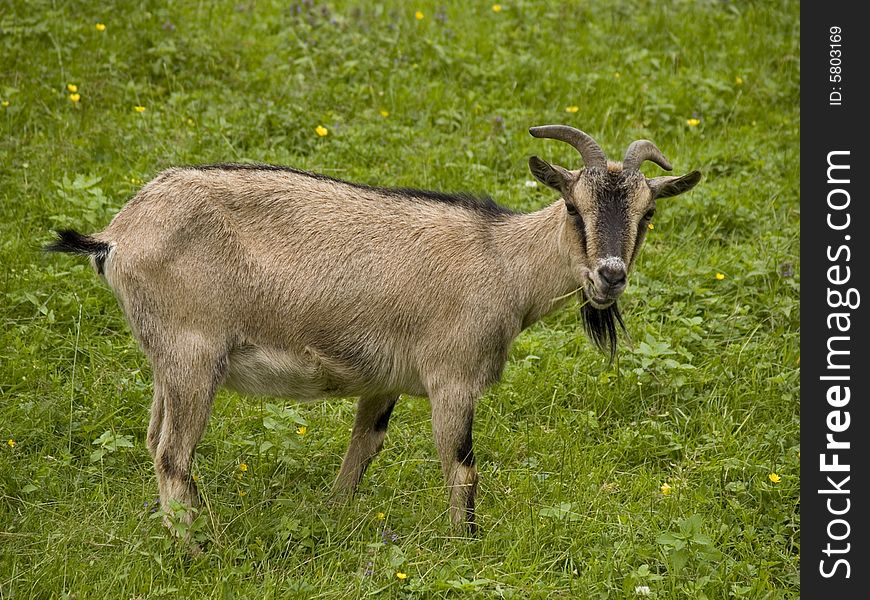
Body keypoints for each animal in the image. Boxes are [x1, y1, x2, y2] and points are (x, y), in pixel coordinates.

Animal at [46, 125, 700, 536]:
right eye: (572, 206)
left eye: (648, 213)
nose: (609, 275)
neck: (501, 261)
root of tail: (116, 235)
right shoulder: (452, 377)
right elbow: (461, 466)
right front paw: (466, 546)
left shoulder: (383, 380)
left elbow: (363, 448)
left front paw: (333, 517)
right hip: (193, 353)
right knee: (171, 453)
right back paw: (196, 548)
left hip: (167, 359)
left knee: (153, 441)